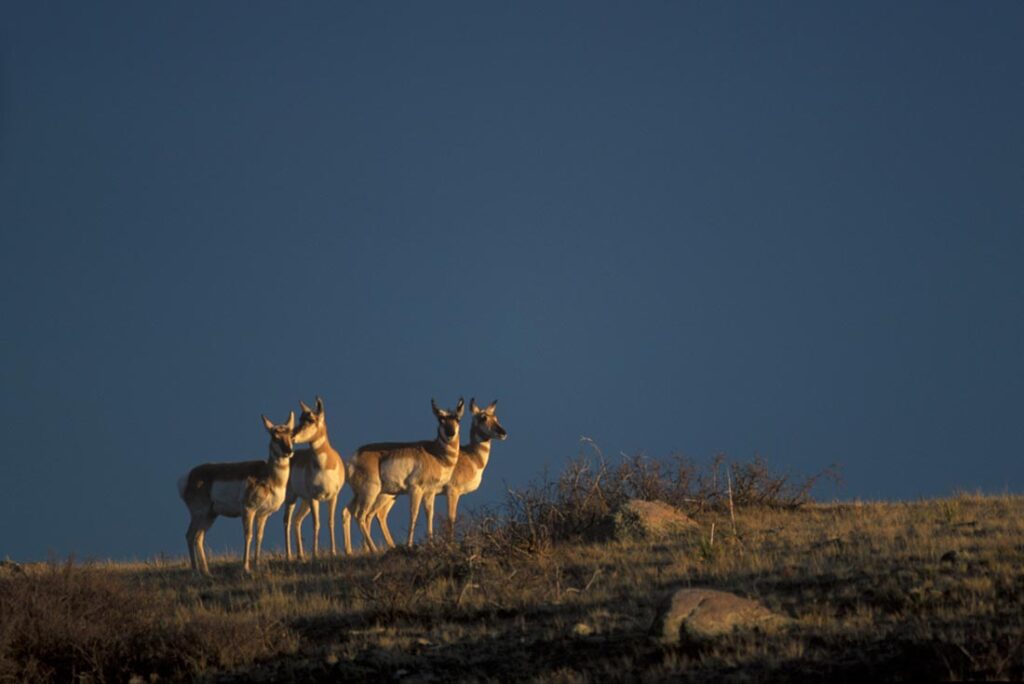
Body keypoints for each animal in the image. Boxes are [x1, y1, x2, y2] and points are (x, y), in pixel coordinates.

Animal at [176, 413, 294, 573]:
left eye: (291, 434)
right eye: (274, 436)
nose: (288, 451)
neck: (269, 476)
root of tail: (188, 476)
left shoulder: (263, 514)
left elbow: (259, 537)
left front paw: (257, 565)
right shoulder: (248, 509)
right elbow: (248, 535)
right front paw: (246, 567)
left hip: (210, 515)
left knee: (198, 538)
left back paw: (206, 571)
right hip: (200, 513)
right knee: (190, 535)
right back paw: (196, 572)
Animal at [286, 395, 346, 561]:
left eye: (311, 419)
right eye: (300, 418)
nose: (291, 436)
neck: (324, 465)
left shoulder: (333, 497)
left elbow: (330, 522)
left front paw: (333, 552)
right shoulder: (315, 498)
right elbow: (316, 524)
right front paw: (315, 554)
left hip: (304, 501)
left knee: (297, 520)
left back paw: (300, 555)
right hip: (292, 498)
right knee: (287, 522)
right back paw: (289, 556)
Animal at [346, 397, 466, 552]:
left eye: (457, 419)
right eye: (441, 419)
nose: (450, 433)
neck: (435, 453)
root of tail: (355, 456)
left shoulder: (430, 492)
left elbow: (429, 514)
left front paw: (431, 543)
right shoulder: (415, 489)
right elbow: (413, 514)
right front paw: (409, 545)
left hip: (363, 494)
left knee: (348, 511)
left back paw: (350, 551)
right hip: (370, 492)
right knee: (360, 515)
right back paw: (374, 550)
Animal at [372, 395, 507, 544]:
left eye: (496, 417)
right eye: (483, 417)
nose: (503, 432)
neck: (471, 457)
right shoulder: (452, 491)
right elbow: (451, 517)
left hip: (392, 495)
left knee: (379, 514)